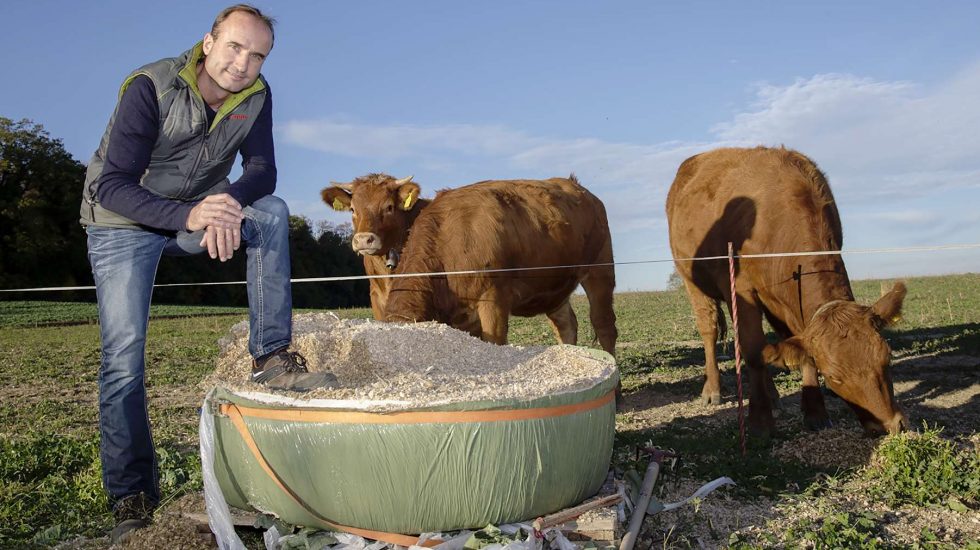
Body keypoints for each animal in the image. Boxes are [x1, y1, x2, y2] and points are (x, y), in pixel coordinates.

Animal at [334, 177, 616, 358]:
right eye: (352, 209)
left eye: (390, 207)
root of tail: (577, 186)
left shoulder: (493, 300)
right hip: (553, 286)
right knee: (566, 325)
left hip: (600, 269)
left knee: (603, 324)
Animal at [668, 148, 912, 440]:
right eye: (834, 376)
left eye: (886, 358)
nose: (891, 426)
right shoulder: (741, 289)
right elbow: (752, 351)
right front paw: (760, 421)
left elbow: (793, 349)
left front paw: (815, 412)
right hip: (692, 281)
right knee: (711, 330)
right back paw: (713, 389)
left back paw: (773, 396)